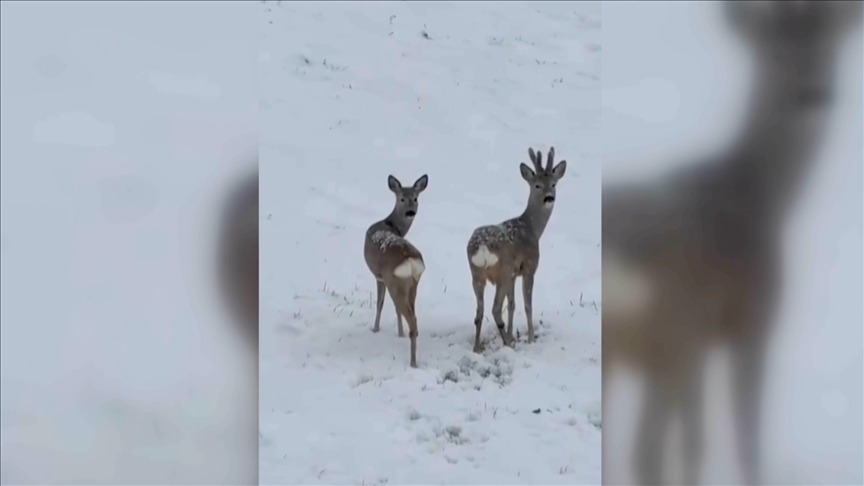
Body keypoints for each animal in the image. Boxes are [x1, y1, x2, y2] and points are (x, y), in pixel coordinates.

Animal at [364, 174, 428, 368]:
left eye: (415, 198)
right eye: (402, 199)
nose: (410, 212)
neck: (390, 224)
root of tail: (410, 260)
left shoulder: (380, 276)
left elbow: (380, 303)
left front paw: (375, 329)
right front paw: (399, 334)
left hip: (395, 282)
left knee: (410, 318)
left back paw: (413, 363)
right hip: (413, 285)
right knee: (412, 316)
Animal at [466, 146, 566, 352]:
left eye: (553, 184)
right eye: (537, 185)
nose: (549, 198)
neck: (531, 228)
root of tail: (482, 247)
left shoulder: (513, 274)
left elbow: (512, 304)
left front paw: (513, 335)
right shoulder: (528, 267)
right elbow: (527, 305)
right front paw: (530, 338)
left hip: (476, 274)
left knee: (479, 311)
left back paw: (478, 347)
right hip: (501, 272)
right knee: (495, 309)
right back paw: (507, 343)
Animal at [601, 2, 863, 485]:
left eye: (829, 48)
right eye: (775, 54)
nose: (814, 95)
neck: (764, 200)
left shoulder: (703, 346)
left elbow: (695, 443)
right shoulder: (752, 325)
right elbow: (746, 447)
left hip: (643, 348)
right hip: (670, 334)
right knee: (645, 453)